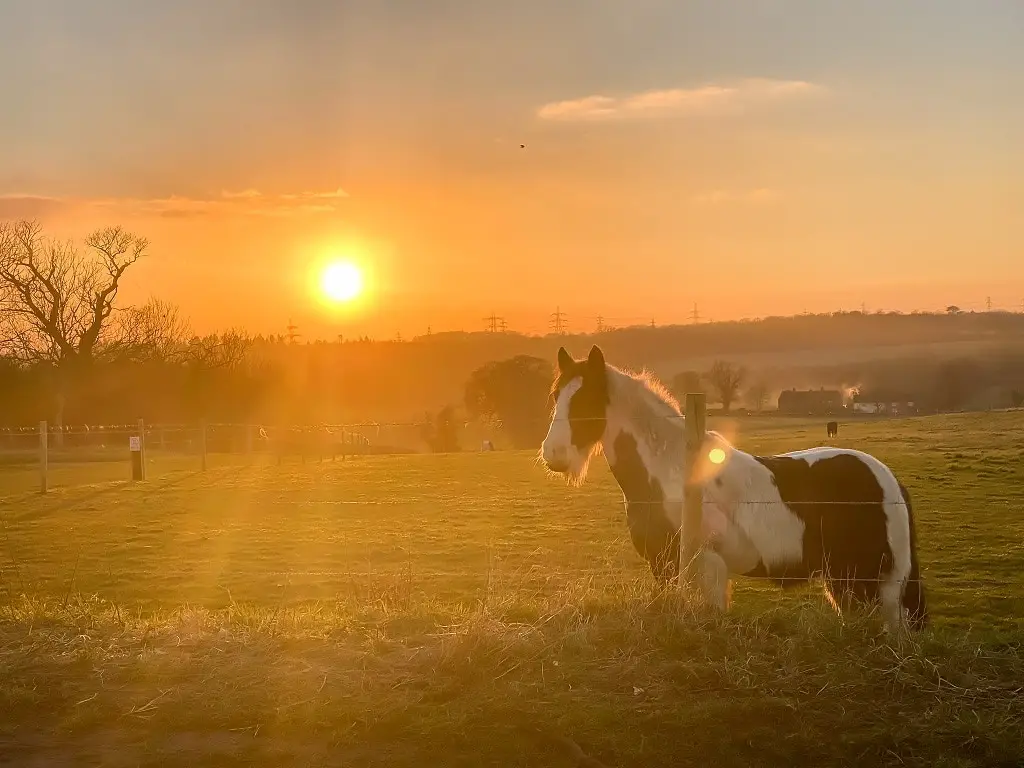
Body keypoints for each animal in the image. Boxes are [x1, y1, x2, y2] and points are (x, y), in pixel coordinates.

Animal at [540, 346, 933, 634]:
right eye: (556, 395)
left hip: (883, 585)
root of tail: (888, 480)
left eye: (587, 399)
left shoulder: (706, 565)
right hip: (846, 582)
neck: (673, 473)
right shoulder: (664, 564)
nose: (553, 455)